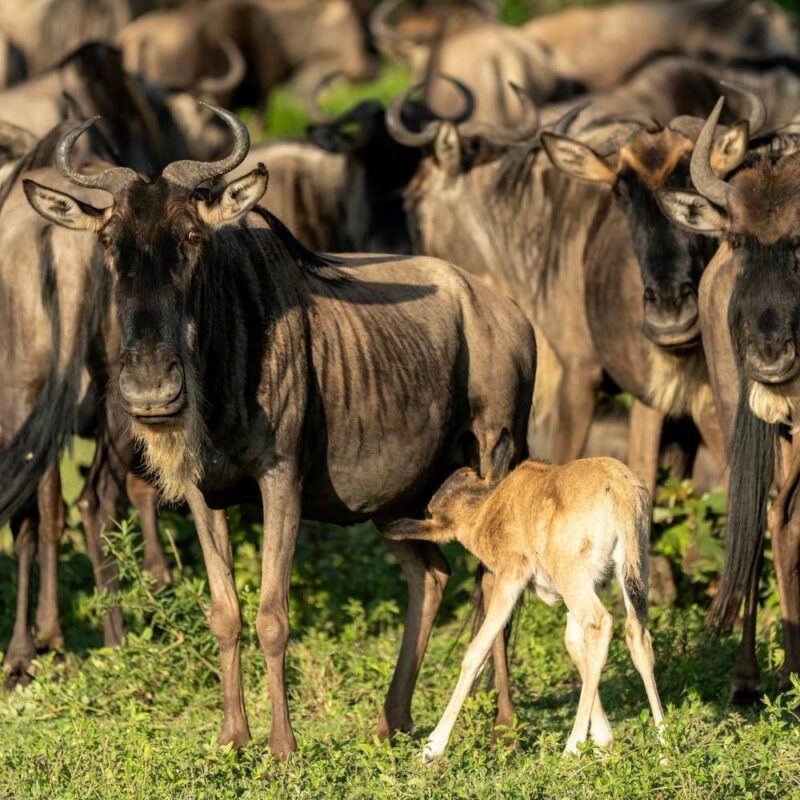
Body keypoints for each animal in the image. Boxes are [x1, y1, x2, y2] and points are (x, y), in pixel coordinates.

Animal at [22, 104, 537, 757]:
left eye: (192, 238)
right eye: (110, 242)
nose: (151, 391)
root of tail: (510, 313)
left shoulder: (282, 481)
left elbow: (272, 614)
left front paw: (283, 747)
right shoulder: (202, 493)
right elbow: (225, 613)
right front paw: (232, 739)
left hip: (497, 452)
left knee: (494, 580)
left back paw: (504, 724)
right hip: (398, 497)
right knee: (431, 576)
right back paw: (391, 721)